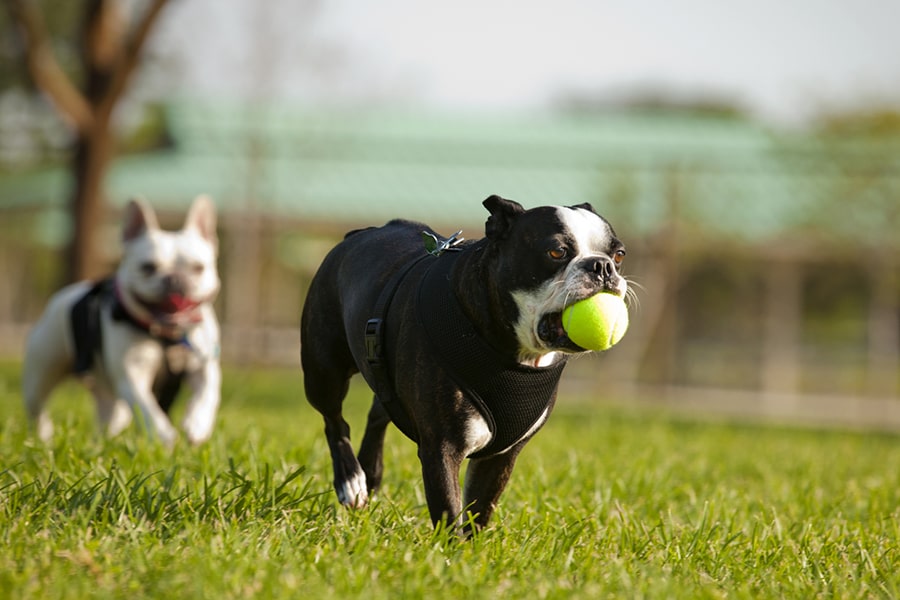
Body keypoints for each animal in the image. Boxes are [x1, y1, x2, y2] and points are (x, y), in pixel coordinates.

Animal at [22, 197, 221, 446]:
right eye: (148, 267)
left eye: (198, 268)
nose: (174, 279)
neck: (167, 334)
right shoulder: (132, 378)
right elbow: (148, 410)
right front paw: (164, 438)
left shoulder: (204, 366)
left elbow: (206, 394)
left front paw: (197, 424)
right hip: (42, 372)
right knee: (38, 407)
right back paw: (44, 436)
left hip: (109, 395)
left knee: (111, 415)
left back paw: (103, 442)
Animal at [300, 196, 624, 528]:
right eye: (557, 252)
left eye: (619, 255)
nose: (602, 266)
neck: (519, 356)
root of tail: (359, 233)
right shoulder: (442, 448)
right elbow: (449, 510)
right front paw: (449, 543)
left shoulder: (501, 457)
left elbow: (479, 510)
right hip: (323, 369)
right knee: (334, 420)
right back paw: (351, 480)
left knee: (379, 409)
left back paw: (370, 473)